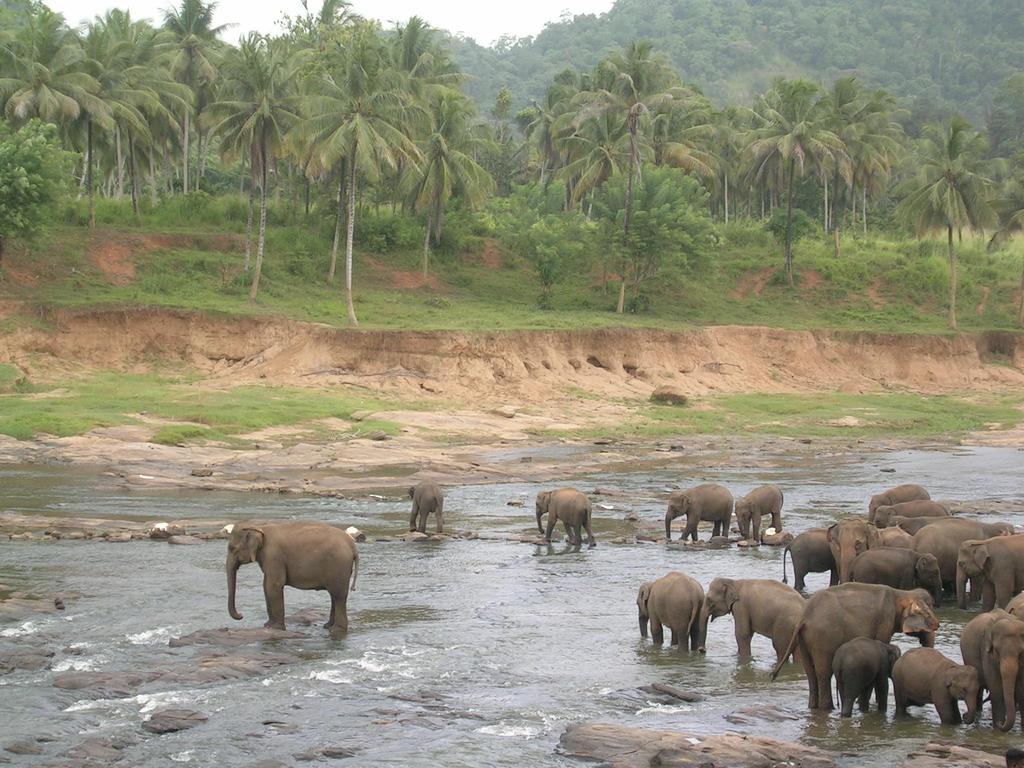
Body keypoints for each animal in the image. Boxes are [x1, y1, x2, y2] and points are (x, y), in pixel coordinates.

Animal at [770, 585, 937, 712]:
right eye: (928, 616)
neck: (901, 593)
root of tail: (804, 616)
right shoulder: (885, 622)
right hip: (824, 638)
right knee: (824, 672)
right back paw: (828, 708)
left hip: (803, 640)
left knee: (810, 672)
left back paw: (813, 707)